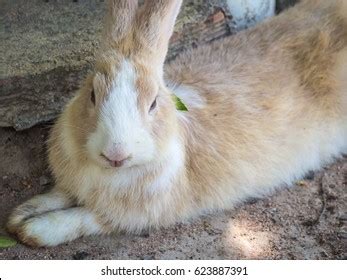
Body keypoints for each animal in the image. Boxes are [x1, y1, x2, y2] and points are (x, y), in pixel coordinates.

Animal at [6, 0, 347, 246]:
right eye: (91, 95)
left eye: (153, 103)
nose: (116, 154)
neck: (109, 174)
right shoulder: (73, 186)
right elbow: (59, 196)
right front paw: (20, 216)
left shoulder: (136, 214)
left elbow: (84, 217)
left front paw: (33, 230)